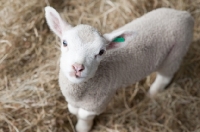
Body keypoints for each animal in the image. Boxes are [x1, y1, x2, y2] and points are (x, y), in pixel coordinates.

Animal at [44, 6, 193, 132]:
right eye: (64, 43)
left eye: (101, 52)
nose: (78, 67)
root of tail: (184, 14)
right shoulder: (73, 100)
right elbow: (73, 110)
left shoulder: (99, 101)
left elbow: (84, 116)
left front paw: (82, 128)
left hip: (176, 52)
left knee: (165, 77)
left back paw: (152, 94)